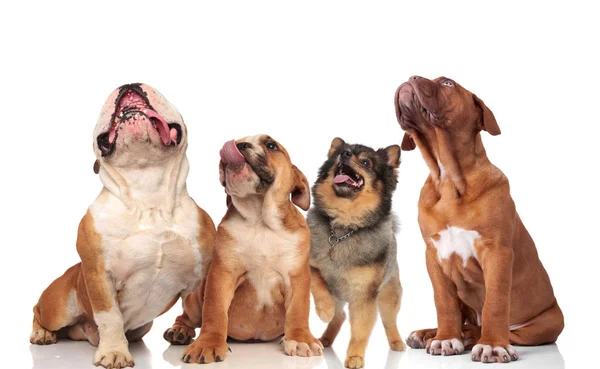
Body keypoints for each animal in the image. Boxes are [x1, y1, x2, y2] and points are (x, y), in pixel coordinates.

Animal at [29, 83, 216, 368]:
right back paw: (41, 333)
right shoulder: (99, 275)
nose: (128, 83)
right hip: (58, 307)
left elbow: (201, 310)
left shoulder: (198, 279)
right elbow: (110, 317)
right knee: (38, 312)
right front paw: (115, 352)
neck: (146, 189)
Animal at [164, 134, 324, 362]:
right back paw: (180, 331)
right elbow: (214, 311)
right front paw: (208, 343)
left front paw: (301, 338)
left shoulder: (297, 277)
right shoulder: (222, 274)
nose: (239, 145)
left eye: (271, 145)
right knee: (186, 316)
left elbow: (299, 309)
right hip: (195, 299)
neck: (260, 219)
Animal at [308, 138, 406, 368]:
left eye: (366, 162)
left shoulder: (364, 295)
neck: (344, 227)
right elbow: (317, 281)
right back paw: (326, 337)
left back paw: (397, 342)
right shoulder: (308, 264)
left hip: (389, 296)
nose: (344, 154)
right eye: (341, 153)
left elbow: (360, 331)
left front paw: (354, 357)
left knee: (389, 321)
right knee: (340, 315)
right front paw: (324, 308)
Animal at [394, 75, 564, 362]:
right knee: (465, 319)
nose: (410, 78)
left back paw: (474, 337)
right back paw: (430, 333)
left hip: (547, 323)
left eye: (448, 83)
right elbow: (444, 302)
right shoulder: (433, 255)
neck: (448, 179)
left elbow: (495, 302)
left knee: (497, 328)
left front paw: (493, 345)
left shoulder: (497, 253)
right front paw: (445, 337)